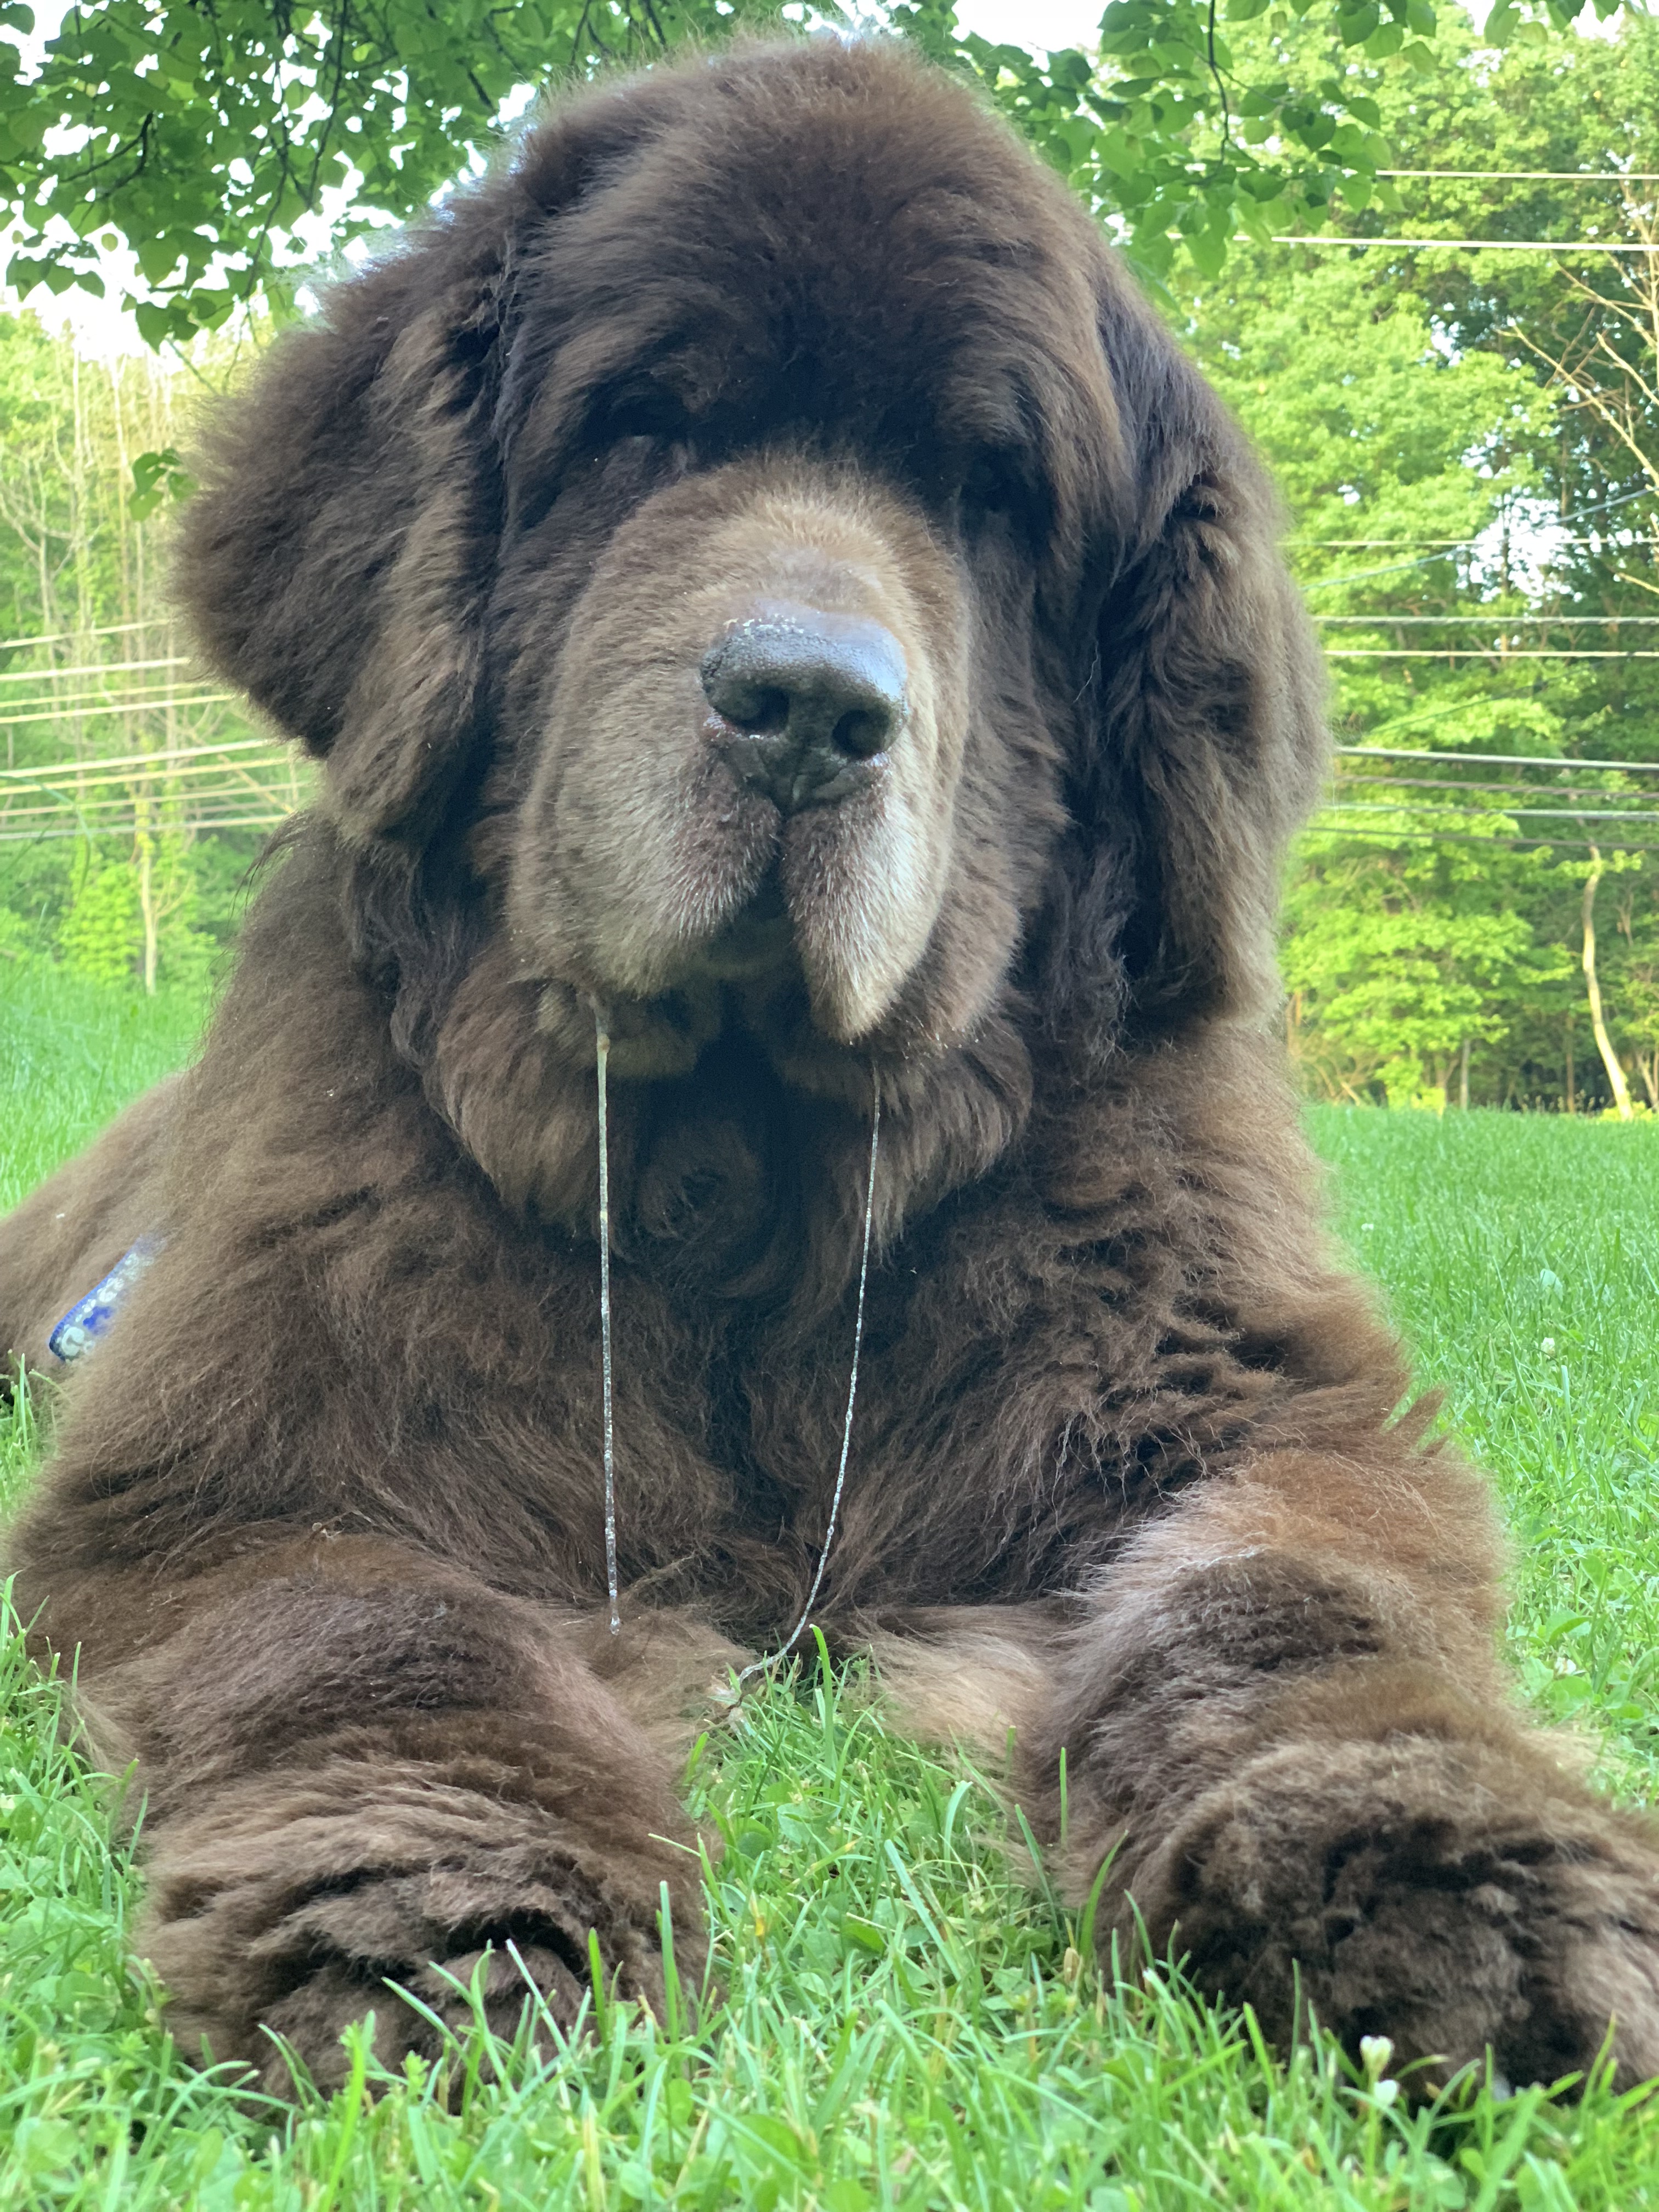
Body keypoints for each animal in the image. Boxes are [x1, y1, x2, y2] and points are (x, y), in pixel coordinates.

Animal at [3, 39, 1659, 2106]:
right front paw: (449, 1921)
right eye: (644, 429)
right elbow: (376, 1627)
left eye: (988, 496)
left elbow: (1283, 1594)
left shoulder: (1255, 1413)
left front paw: (1440, 1871)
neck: (748, 1190)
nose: (805, 705)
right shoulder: (252, 1464)